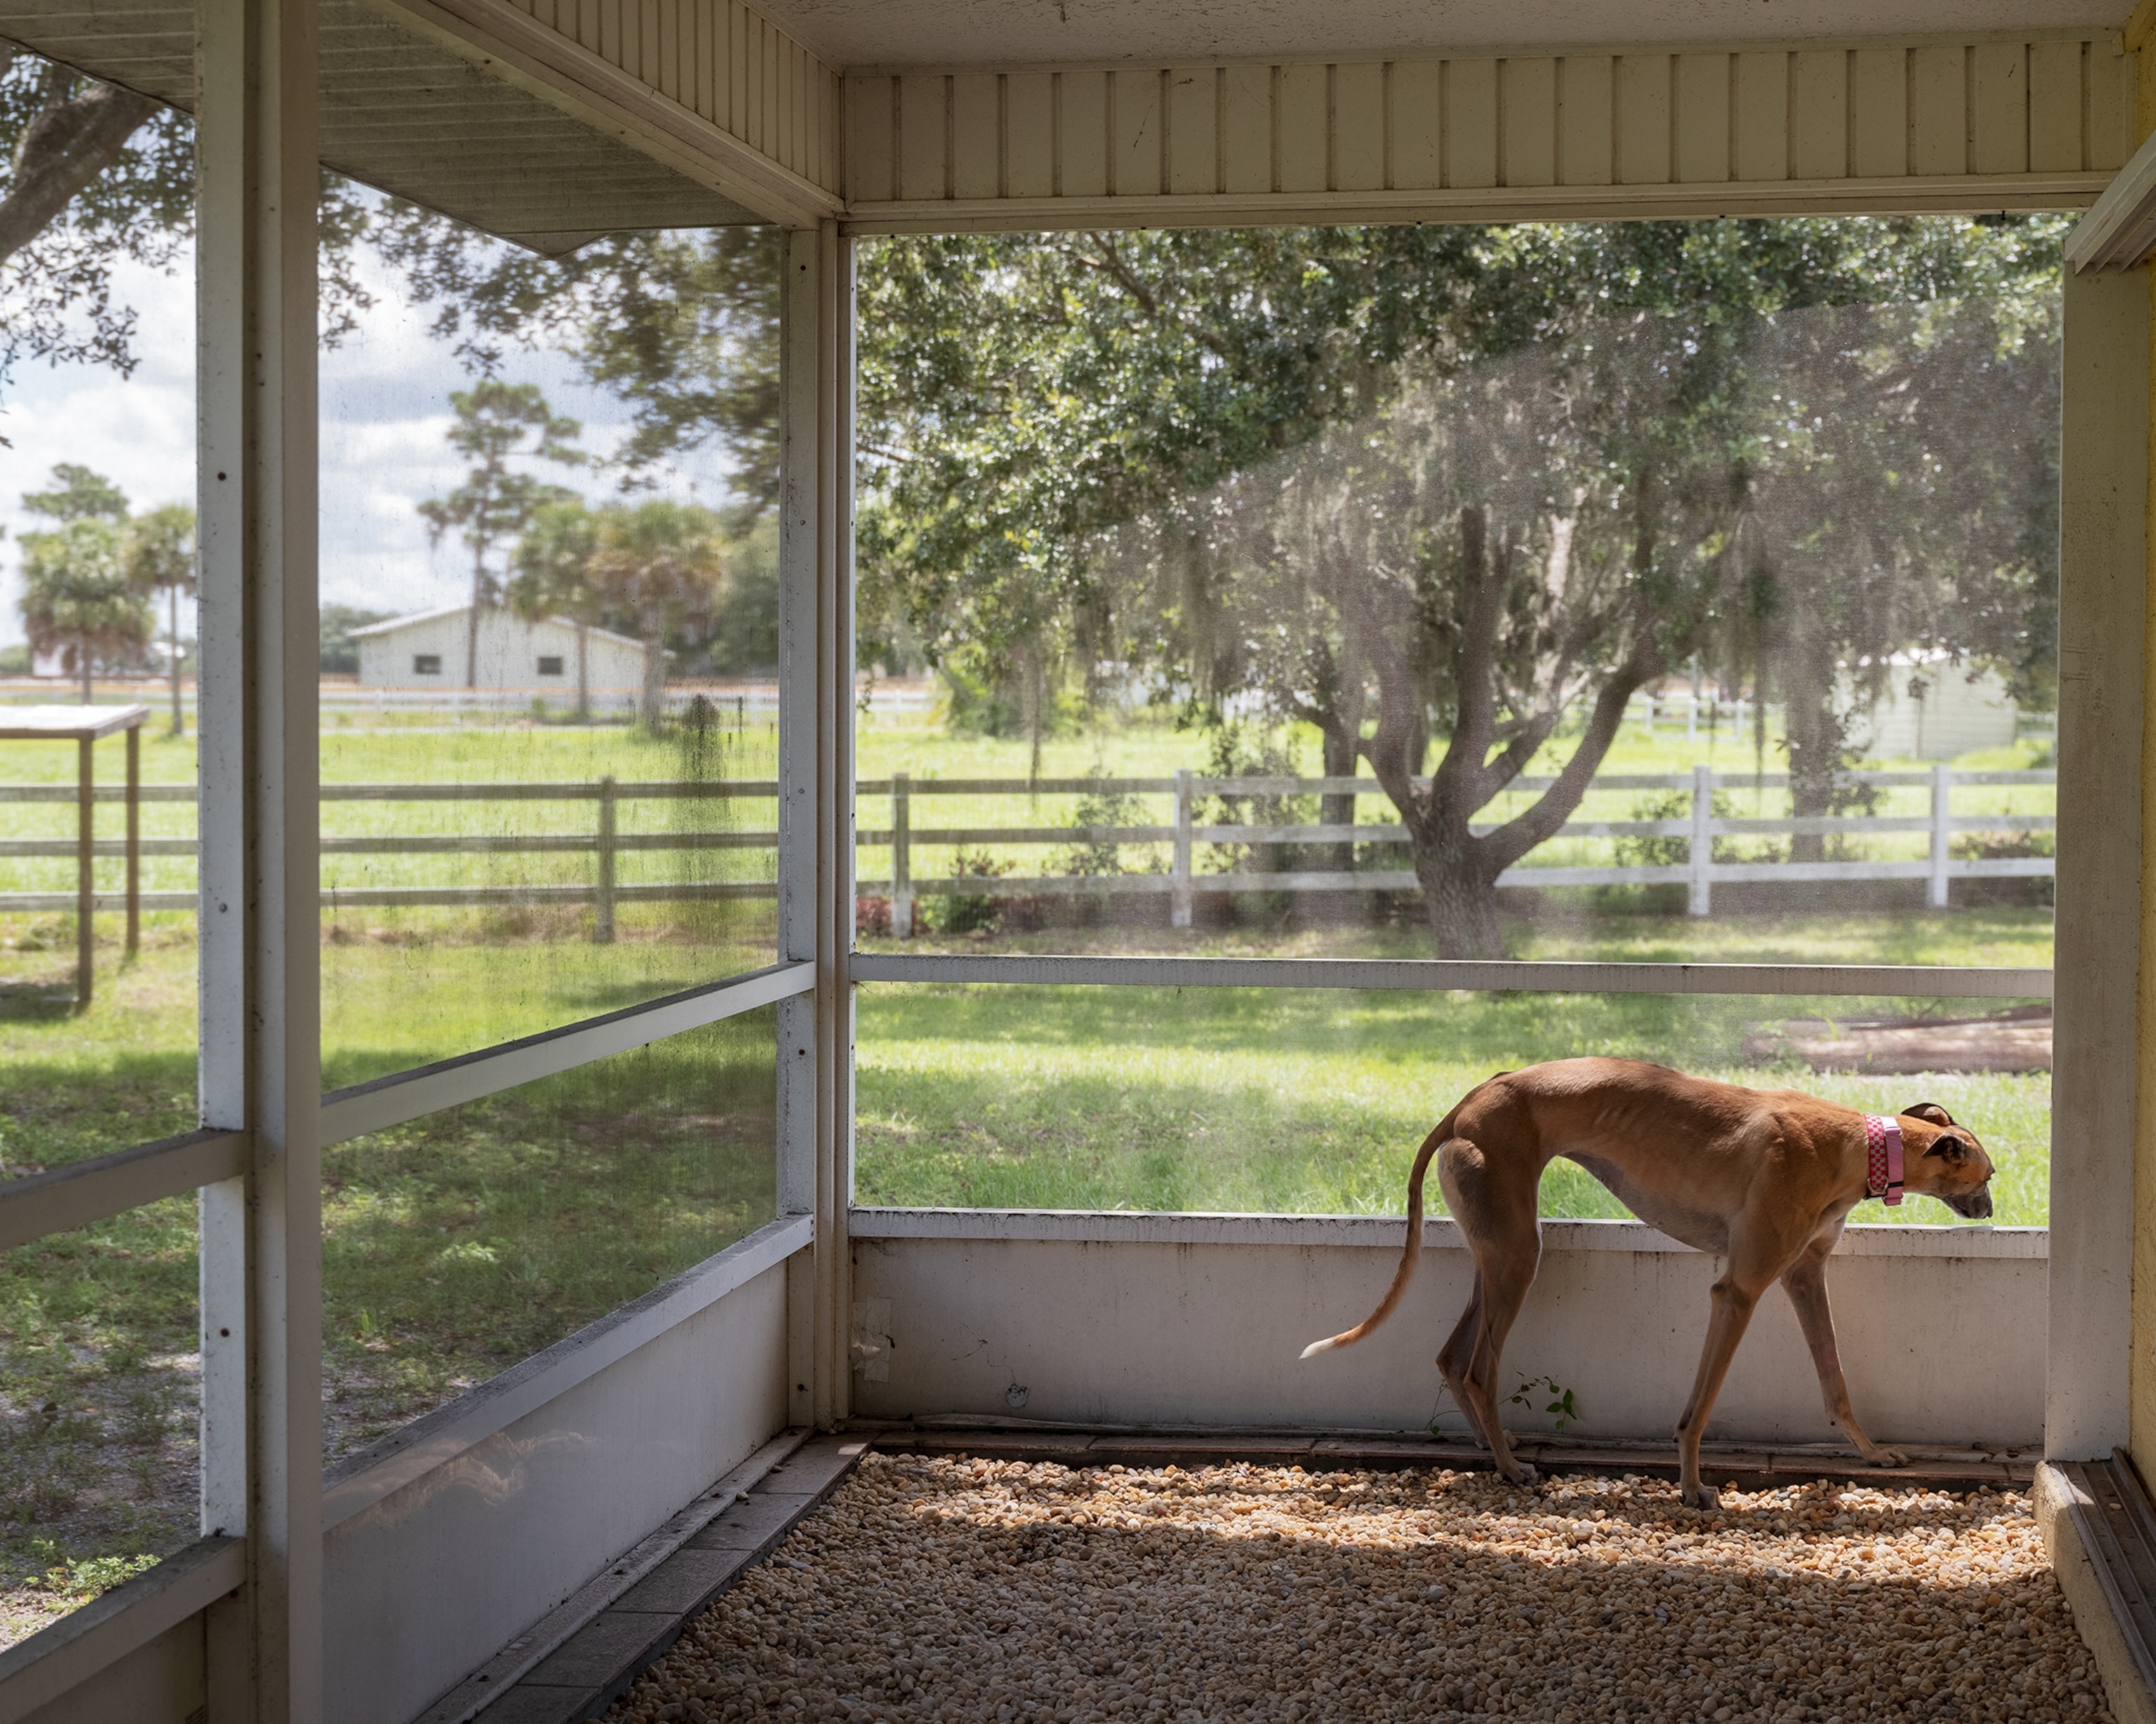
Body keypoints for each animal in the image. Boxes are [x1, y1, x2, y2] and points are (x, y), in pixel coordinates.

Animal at [1293, 1051, 1983, 1508]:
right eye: (1988, 1177)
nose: (1990, 1210)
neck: (1854, 1143)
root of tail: (1468, 1103)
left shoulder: (1805, 1277)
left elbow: (1834, 1378)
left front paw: (1874, 1453)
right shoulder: (1739, 1290)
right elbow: (1699, 1406)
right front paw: (1693, 1486)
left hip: (1497, 1255)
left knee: (1451, 1357)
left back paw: (1498, 1452)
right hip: (1518, 1253)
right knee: (1479, 1369)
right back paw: (1513, 1469)